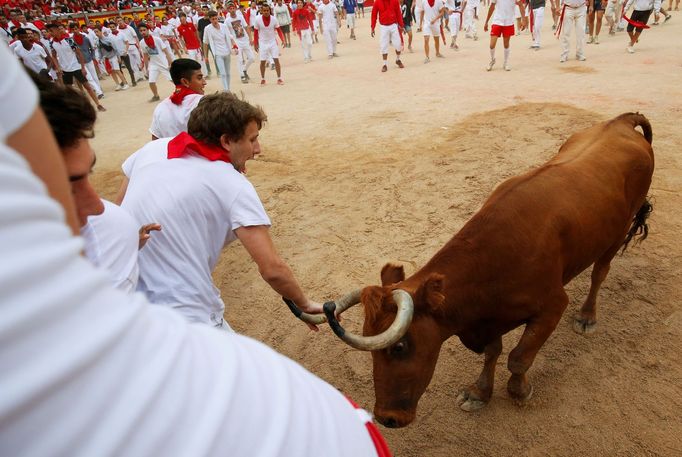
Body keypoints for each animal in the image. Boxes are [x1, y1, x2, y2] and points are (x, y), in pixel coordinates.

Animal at [298, 111, 652, 428]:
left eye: (399, 347)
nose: (387, 418)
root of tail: (620, 121)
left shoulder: (552, 305)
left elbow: (519, 357)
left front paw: (518, 391)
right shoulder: (487, 318)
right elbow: (493, 352)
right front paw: (480, 393)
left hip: (617, 232)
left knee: (599, 273)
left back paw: (587, 316)